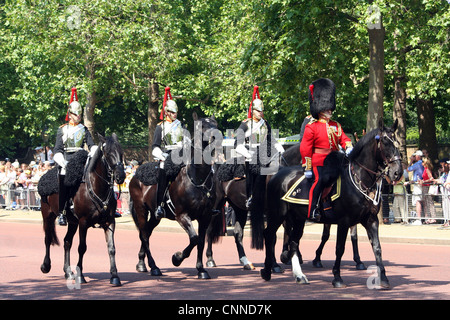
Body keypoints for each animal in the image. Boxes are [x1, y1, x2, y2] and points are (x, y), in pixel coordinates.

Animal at [39, 134, 125, 286]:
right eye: (108, 153)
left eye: (121, 152)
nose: (121, 176)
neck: (96, 187)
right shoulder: (83, 222)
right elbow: (82, 248)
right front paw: (81, 276)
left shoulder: (109, 221)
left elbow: (111, 248)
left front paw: (115, 276)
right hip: (48, 216)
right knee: (48, 239)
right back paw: (46, 266)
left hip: (72, 222)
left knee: (67, 242)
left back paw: (68, 272)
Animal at [129, 114, 222, 278]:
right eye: (201, 126)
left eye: (215, 124)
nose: (217, 138)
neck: (197, 178)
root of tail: (136, 175)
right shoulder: (182, 215)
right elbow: (194, 239)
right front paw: (177, 258)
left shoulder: (205, 216)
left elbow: (201, 241)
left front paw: (201, 270)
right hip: (141, 209)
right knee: (144, 235)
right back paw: (154, 267)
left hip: (155, 216)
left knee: (147, 232)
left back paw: (141, 263)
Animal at [258, 120, 402, 288]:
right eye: (385, 141)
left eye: (396, 142)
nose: (397, 172)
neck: (359, 180)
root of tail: (277, 174)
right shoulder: (344, 221)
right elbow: (339, 248)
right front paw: (337, 277)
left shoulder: (371, 220)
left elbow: (377, 247)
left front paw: (383, 278)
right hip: (277, 214)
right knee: (269, 235)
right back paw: (269, 269)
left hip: (298, 218)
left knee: (293, 241)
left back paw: (299, 275)